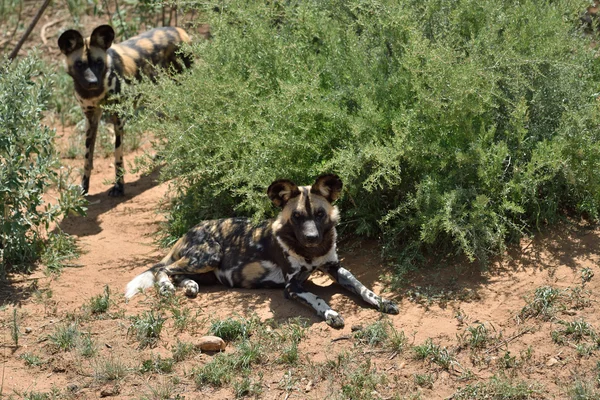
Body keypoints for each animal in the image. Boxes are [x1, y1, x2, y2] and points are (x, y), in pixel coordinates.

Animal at [57, 24, 191, 196]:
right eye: (79, 64)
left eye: (99, 62)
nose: (93, 82)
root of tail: (178, 29)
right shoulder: (90, 118)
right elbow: (87, 158)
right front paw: (83, 188)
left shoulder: (118, 118)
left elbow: (118, 157)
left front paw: (119, 187)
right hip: (160, 100)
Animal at [125, 174, 398, 328]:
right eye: (297, 216)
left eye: (320, 214)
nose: (311, 237)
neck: (312, 251)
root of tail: (190, 229)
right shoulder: (292, 286)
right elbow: (318, 297)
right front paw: (331, 313)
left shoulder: (336, 268)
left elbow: (363, 288)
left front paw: (382, 302)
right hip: (209, 255)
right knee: (162, 268)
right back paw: (167, 286)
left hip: (205, 265)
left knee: (176, 272)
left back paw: (190, 285)